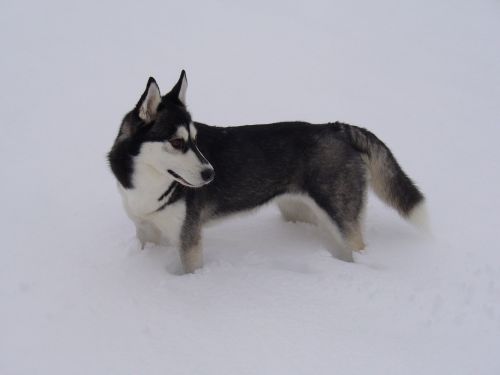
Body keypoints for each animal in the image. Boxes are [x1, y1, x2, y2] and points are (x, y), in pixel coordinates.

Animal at [106, 72, 426, 274]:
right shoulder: (146, 231)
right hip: (298, 209)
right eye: (176, 142)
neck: (149, 183)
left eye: (195, 140)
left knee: (357, 246)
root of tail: (334, 127)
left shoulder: (189, 240)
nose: (211, 174)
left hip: (341, 217)